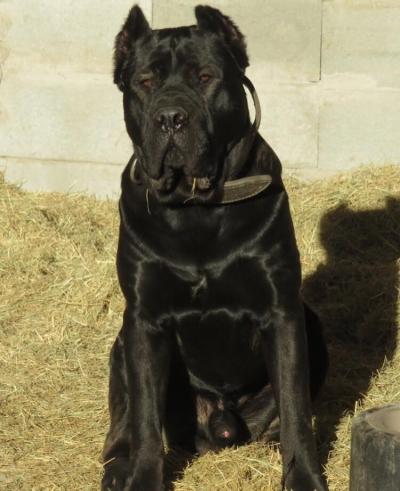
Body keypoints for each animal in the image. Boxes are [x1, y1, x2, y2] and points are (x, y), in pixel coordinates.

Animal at [102, 5, 329, 491]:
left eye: (205, 77)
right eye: (144, 82)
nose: (171, 117)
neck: (196, 209)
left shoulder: (282, 312)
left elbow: (297, 409)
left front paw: (303, 476)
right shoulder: (144, 320)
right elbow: (144, 417)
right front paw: (143, 477)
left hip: (311, 324)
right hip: (121, 342)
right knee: (124, 415)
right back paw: (117, 467)